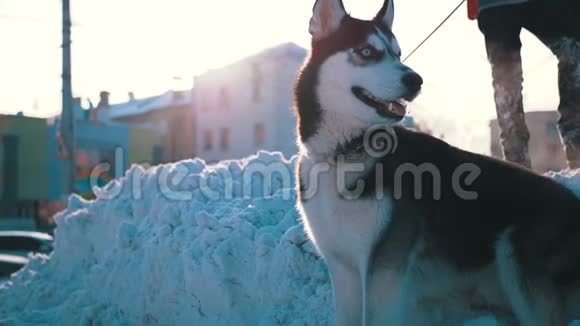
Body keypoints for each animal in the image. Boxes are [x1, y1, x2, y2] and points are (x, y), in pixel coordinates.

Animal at [296, 0, 580, 326]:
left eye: (398, 53)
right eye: (366, 51)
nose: (415, 80)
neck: (343, 153)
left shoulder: (384, 268)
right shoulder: (343, 268)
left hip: (515, 253)